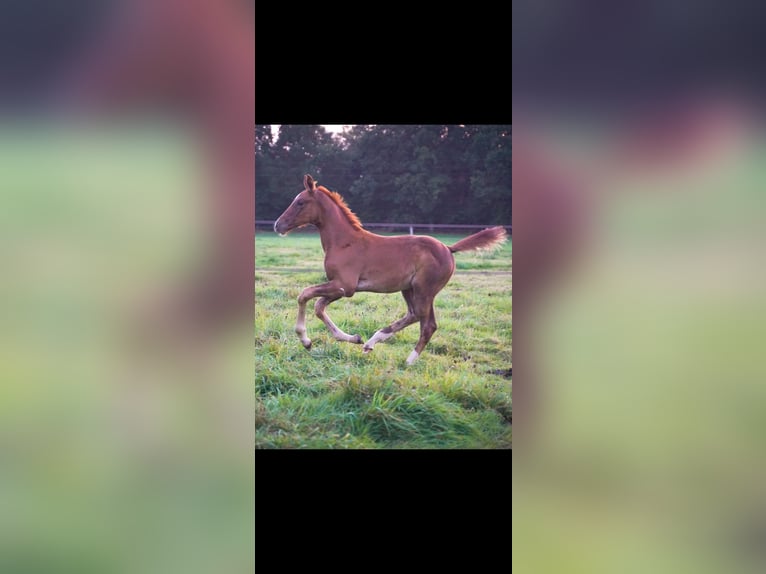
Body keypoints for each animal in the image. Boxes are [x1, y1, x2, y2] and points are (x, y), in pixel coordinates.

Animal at [272, 173, 508, 366]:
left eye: (300, 202)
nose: (277, 225)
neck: (344, 242)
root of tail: (448, 249)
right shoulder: (341, 288)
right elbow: (319, 307)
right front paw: (353, 338)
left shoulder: (344, 286)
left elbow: (305, 295)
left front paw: (305, 340)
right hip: (410, 289)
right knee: (417, 317)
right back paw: (371, 343)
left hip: (424, 290)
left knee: (425, 322)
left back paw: (407, 360)